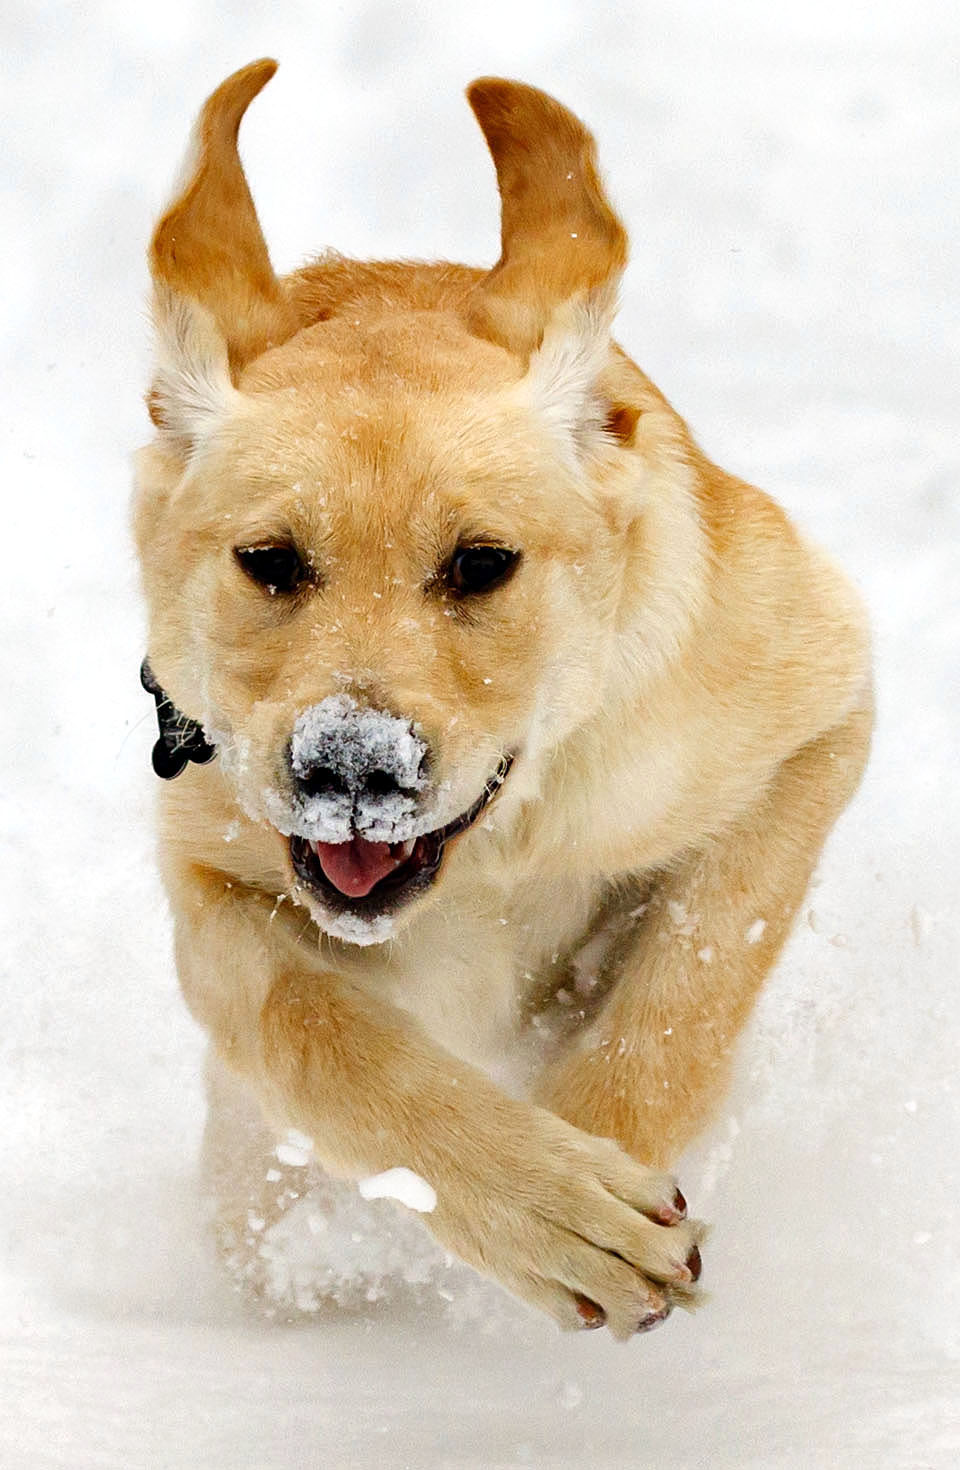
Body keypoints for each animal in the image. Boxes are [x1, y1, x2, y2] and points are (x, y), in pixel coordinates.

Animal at [130, 63, 870, 1340]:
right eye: (269, 561)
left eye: (481, 564)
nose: (354, 769)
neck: (491, 853)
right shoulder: (209, 874)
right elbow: (315, 1030)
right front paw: (551, 1210)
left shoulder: (815, 711)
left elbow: (691, 978)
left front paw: (598, 1160)